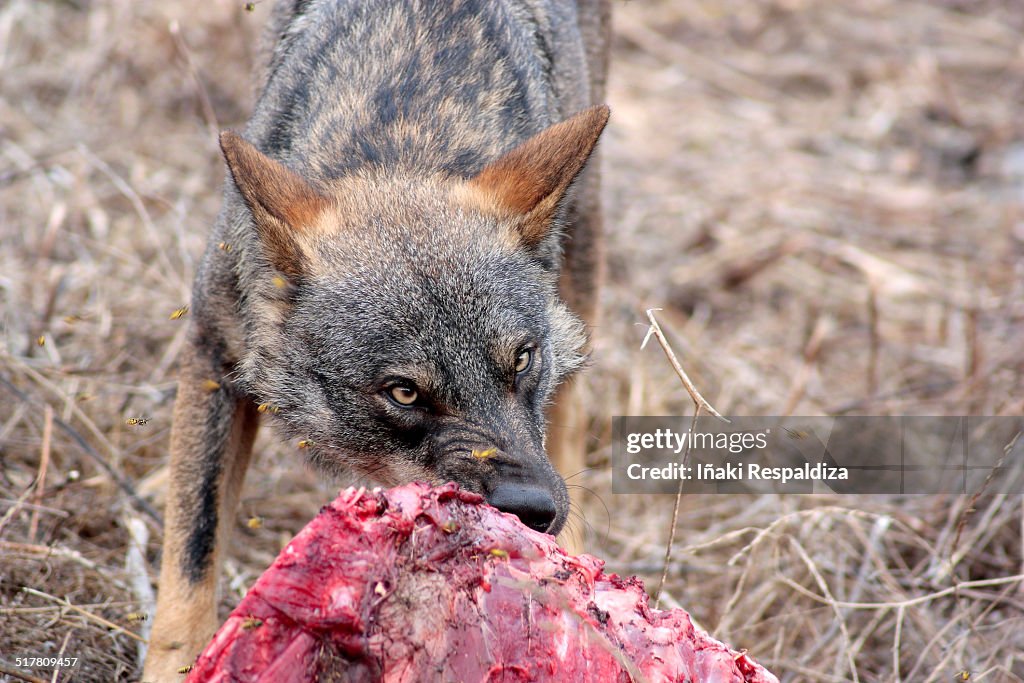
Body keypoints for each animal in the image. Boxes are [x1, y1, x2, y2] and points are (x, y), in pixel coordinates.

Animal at [144, 0, 606, 679]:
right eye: (405, 393)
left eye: (522, 360)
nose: (533, 511)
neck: (410, 123)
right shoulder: (213, 349)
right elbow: (192, 554)